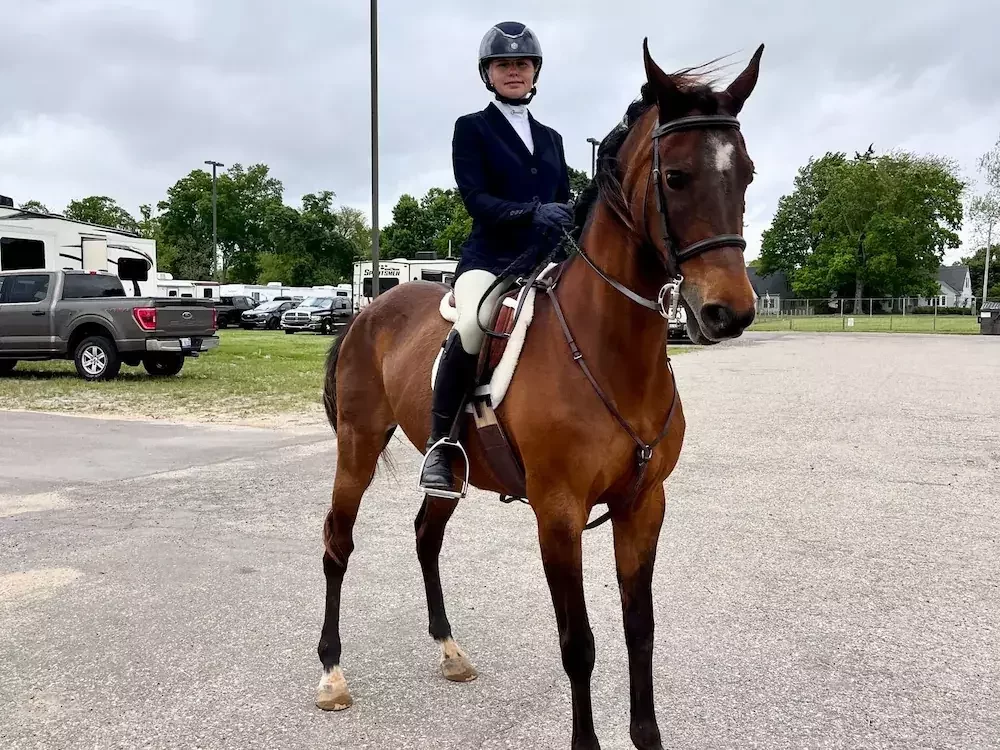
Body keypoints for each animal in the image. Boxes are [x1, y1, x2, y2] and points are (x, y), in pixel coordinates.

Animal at [315, 39, 764, 750]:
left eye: (745, 174)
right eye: (675, 178)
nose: (730, 313)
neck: (609, 351)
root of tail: (366, 311)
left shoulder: (644, 506)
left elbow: (641, 629)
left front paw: (647, 736)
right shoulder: (558, 513)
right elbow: (578, 643)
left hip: (450, 469)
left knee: (425, 535)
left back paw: (450, 650)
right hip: (357, 446)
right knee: (338, 542)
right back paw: (332, 673)